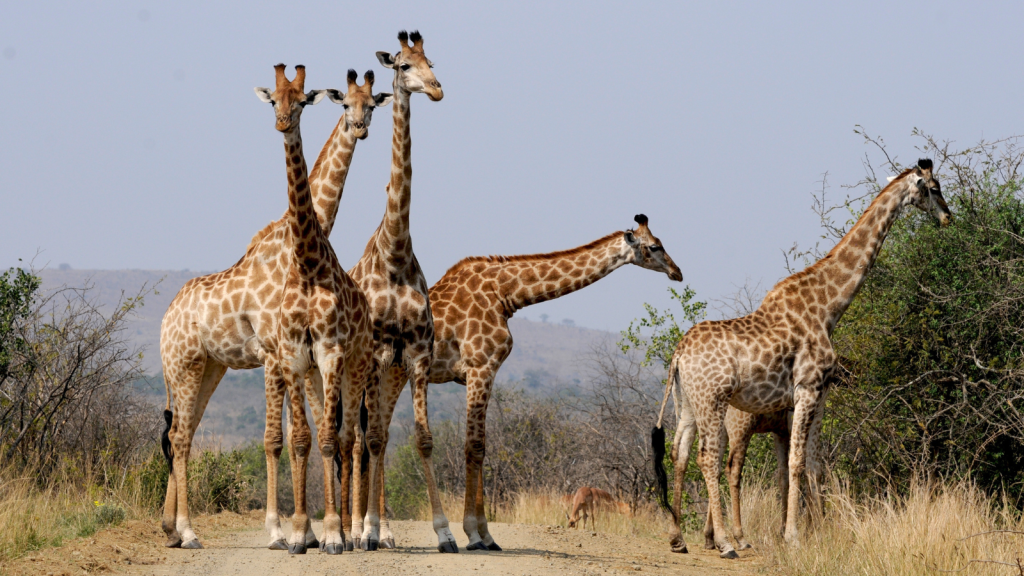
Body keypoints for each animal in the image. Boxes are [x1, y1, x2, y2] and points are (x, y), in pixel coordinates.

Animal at [428, 214, 684, 545]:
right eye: (655, 246)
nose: (677, 272)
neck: (506, 294)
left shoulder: (482, 372)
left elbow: (481, 447)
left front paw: (484, 534)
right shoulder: (479, 367)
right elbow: (474, 447)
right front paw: (475, 534)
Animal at [655, 157, 950, 557]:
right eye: (934, 188)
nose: (948, 217)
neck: (828, 307)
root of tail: (678, 353)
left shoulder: (809, 395)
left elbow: (807, 464)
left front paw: (806, 532)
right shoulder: (808, 388)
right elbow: (797, 463)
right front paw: (794, 536)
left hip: (687, 401)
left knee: (680, 452)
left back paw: (679, 538)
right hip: (713, 399)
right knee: (710, 457)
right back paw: (726, 542)